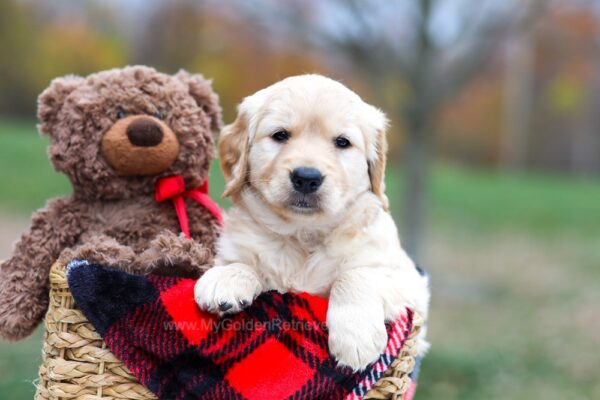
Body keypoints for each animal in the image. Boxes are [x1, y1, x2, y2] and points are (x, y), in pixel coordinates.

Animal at [195, 74, 428, 368]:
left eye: (342, 142)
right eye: (280, 135)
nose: (306, 177)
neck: (303, 234)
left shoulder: (409, 280)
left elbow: (354, 275)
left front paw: (355, 337)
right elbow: (243, 262)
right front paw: (225, 278)